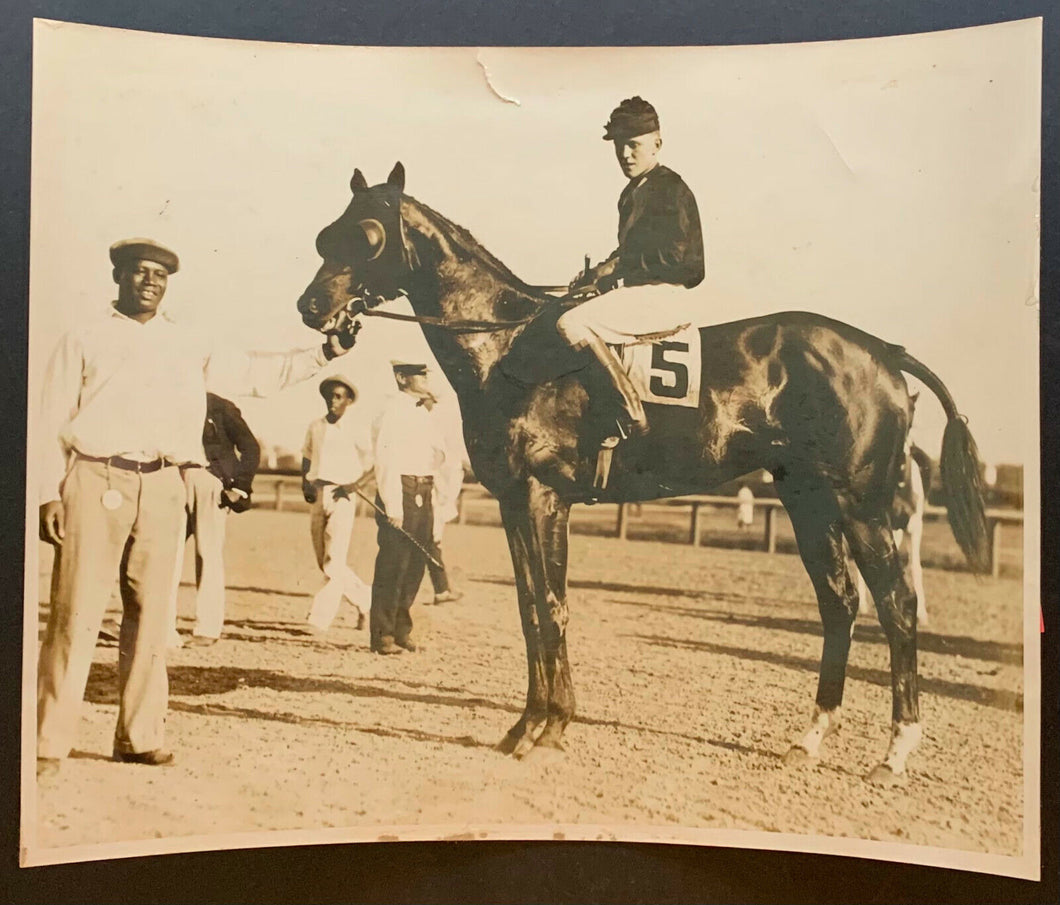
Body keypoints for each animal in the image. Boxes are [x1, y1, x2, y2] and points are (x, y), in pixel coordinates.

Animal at [294, 164, 987, 788]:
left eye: (367, 234)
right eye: (328, 234)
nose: (310, 306)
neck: (510, 348)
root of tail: (883, 351)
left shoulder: (544, 498)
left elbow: (551, 607)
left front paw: (550, 729)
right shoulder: (516, 502)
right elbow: (529, 609)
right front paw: (526, 725)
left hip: (861, 506)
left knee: (897, 606)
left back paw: (896, 751)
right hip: (808, 501)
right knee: (840, 604)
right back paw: (810, 738)